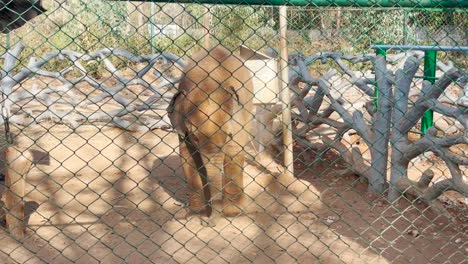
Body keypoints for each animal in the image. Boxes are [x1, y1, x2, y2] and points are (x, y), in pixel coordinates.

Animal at [168, 46, 254, 225]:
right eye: (194, 137)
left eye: (227, 135)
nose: (208, 222)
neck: (208, 82)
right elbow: (188, 156)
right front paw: (193, 215)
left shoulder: (238, 118)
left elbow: (233, 152)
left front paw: (232, 213)